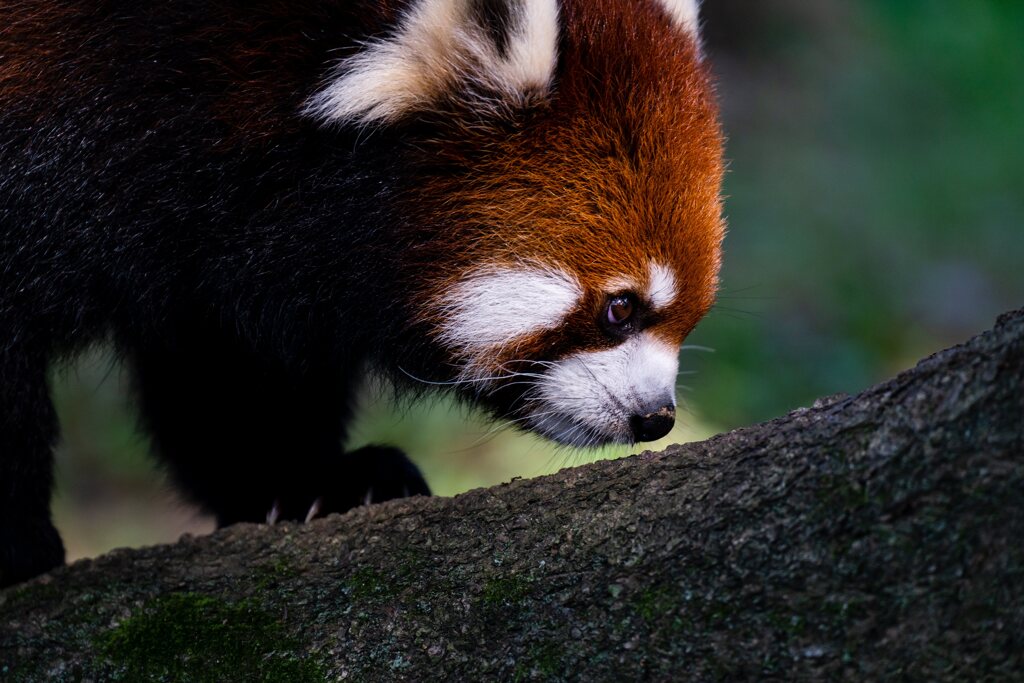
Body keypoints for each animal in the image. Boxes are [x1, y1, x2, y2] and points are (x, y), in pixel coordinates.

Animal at [0, 0, 724, 589]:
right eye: (620, 308)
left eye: (689, 317)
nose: (656, 417)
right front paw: (23, 553)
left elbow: (229, 361)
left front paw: (307, 480)